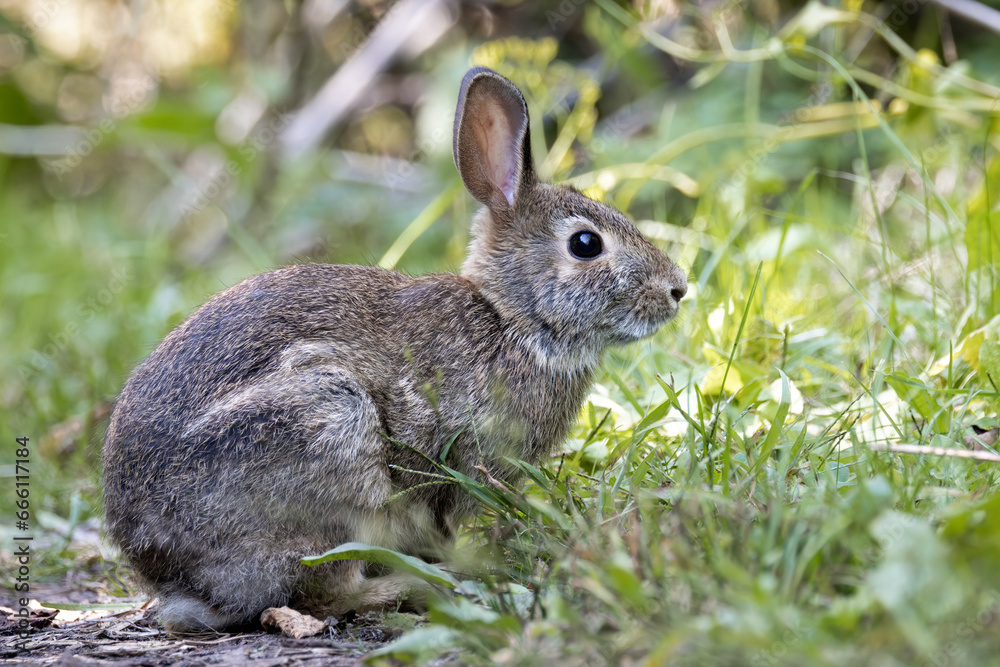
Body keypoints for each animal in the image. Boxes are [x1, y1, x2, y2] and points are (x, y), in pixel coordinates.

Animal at [102, 66, 688, 632]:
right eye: (586, 244)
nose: (677, 289)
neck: (510, 319)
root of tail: (172, 574)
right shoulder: (456, 461)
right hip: (330, 435)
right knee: (324, 592)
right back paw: (417, 587)